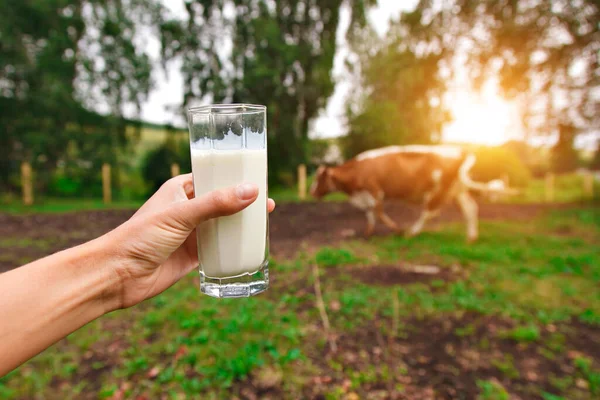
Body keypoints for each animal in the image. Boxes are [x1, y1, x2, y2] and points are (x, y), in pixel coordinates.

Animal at [310, 145, 510, 242]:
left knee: (429, 213)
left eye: (319, 179)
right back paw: (471, 238)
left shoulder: (375, 191)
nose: (311, 192)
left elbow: (378, 213)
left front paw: (396, 229)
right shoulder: (366, 195)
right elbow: (369, 214)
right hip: (457, 191)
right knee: (470, 209)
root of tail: (460, 150)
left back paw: (411, 233)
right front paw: (368, 232)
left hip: (438, 192)